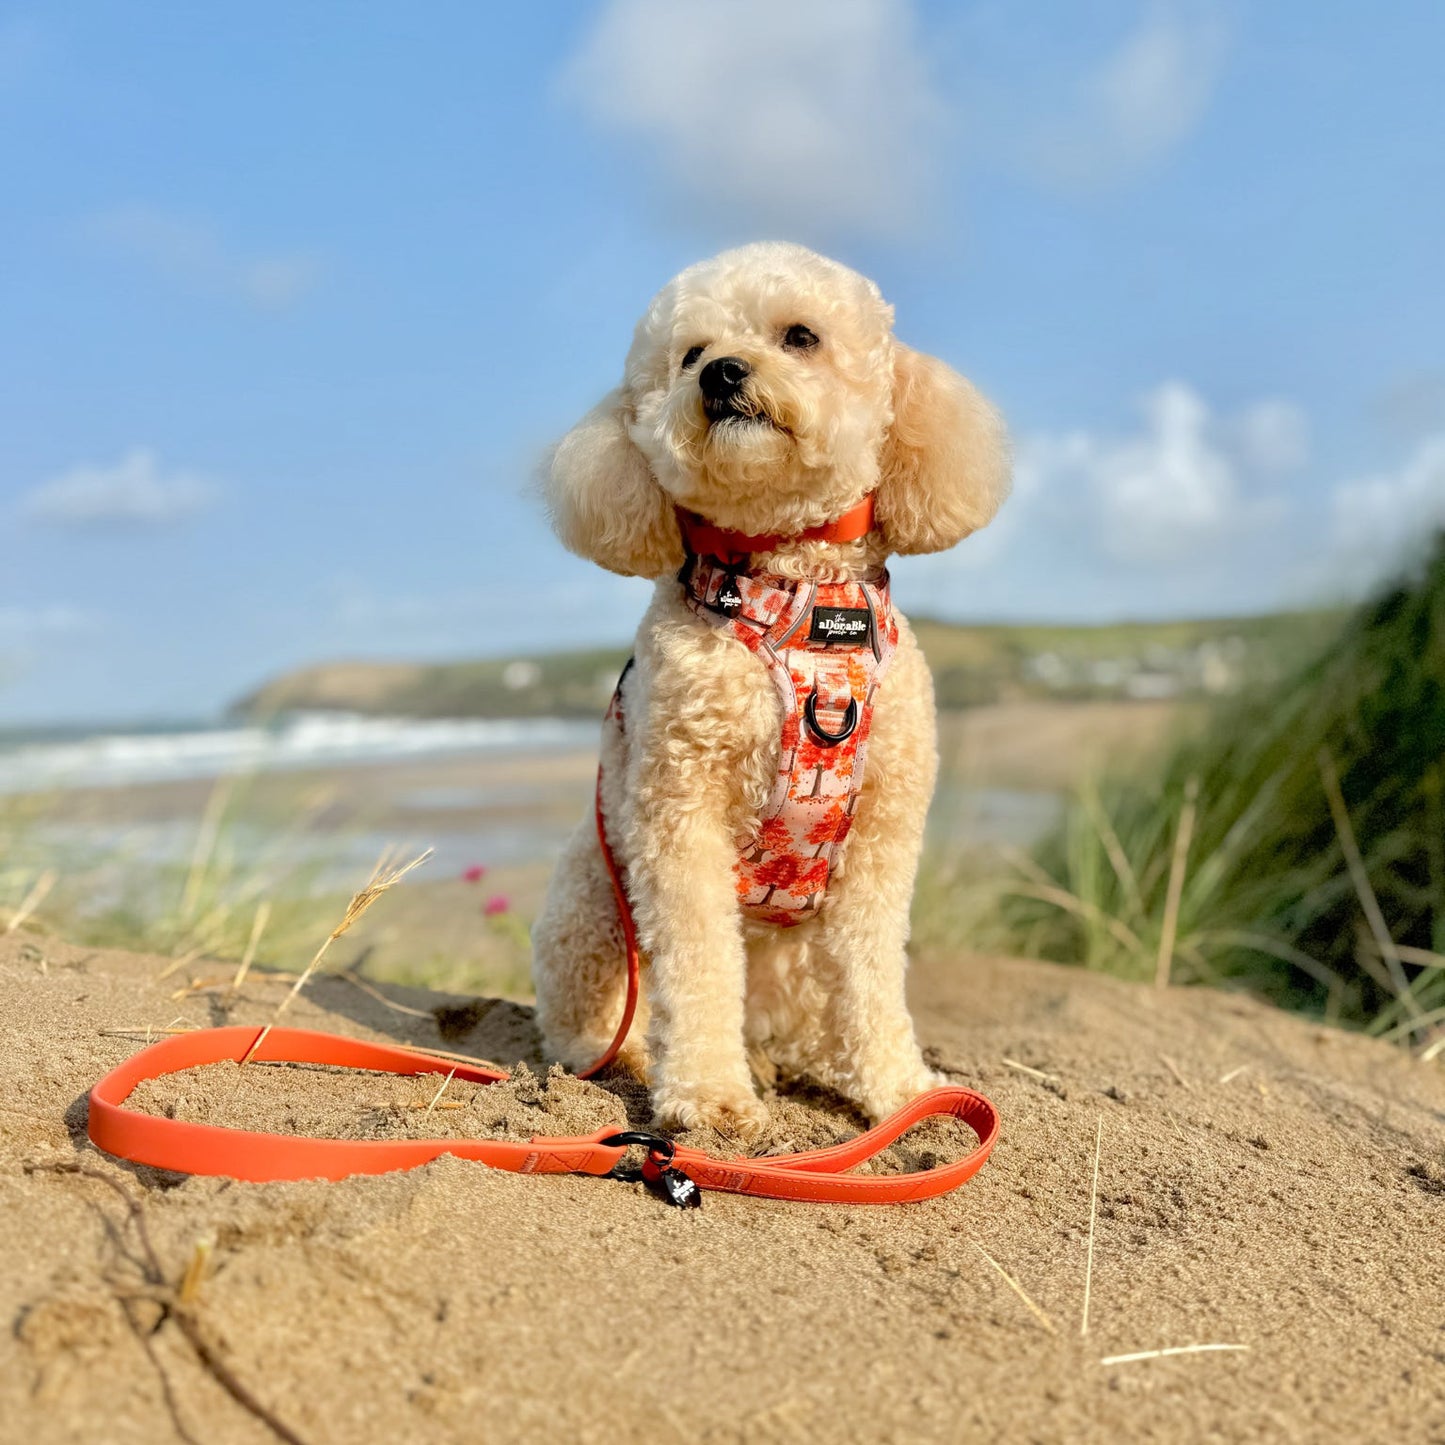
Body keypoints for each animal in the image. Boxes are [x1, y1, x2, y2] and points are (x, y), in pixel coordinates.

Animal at [528, 239, 1005, 1138]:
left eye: (800, 336)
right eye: (688, 354)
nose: (721, 372)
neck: (795, 587)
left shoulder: (883, 832)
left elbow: (873, 973)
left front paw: (900, 1090)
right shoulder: (678, 812)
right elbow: (698, 962)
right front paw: (710, 1096)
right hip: (593, 902)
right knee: (593, 1022)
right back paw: (647, 1058)